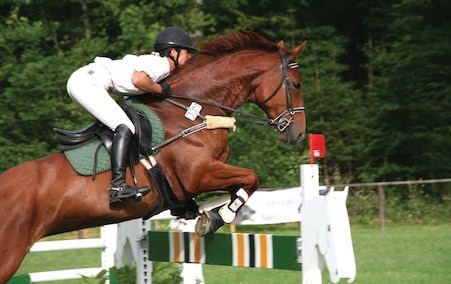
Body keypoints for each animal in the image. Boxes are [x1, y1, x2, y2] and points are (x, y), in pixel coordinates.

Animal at [0, 30, 308, 282]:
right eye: (296, 85)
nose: (299, 134)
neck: (190, 112)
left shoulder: (205, 175)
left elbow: (237, 187)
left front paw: (208, 213)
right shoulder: (200, 174)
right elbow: (251, 179)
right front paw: (220, 216)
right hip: (10, 253)